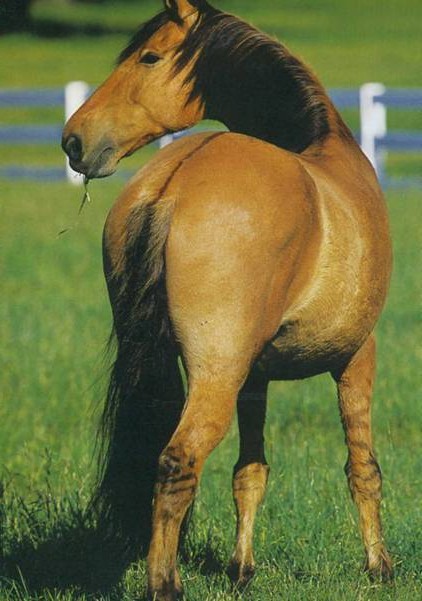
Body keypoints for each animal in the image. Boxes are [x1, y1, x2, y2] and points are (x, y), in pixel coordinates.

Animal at [61, 1, 392, 600]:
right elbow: (363, 468)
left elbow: (250, 471)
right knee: (177, 463)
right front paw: (380, 567)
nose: (74, 140)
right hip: (216, 376)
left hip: (200, 369)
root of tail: (172, 183)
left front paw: (242, 569)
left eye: (149, 56)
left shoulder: (255, 375)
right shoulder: (358, 356)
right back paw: (164, 584)